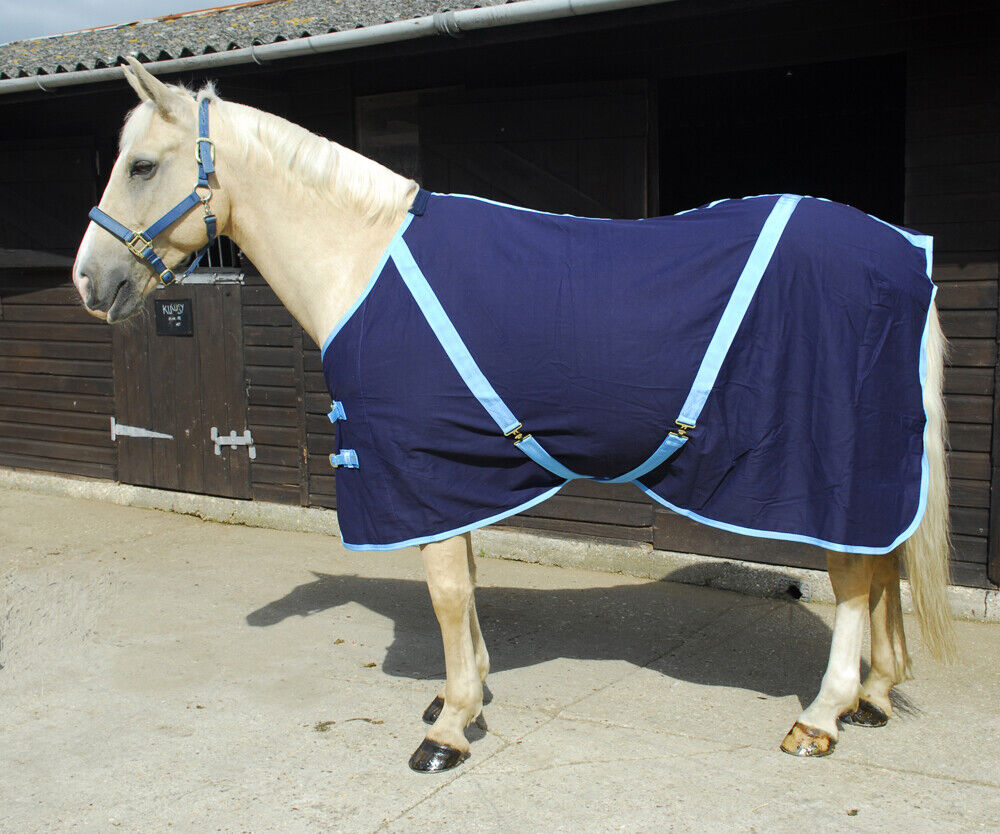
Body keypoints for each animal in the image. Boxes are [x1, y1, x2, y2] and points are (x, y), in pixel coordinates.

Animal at [72, 57, 955, 772]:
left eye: (142, 165)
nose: (89, 280)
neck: (364, 261)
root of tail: (906, 252)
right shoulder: (455, 469)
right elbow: (463, 579)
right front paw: (460, 695)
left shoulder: (418, 465)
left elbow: (445, 591)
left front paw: (448, 729)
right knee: (882, 564)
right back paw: (875, 696)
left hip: (832, 464)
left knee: (853, 577)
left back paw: (822, 716)